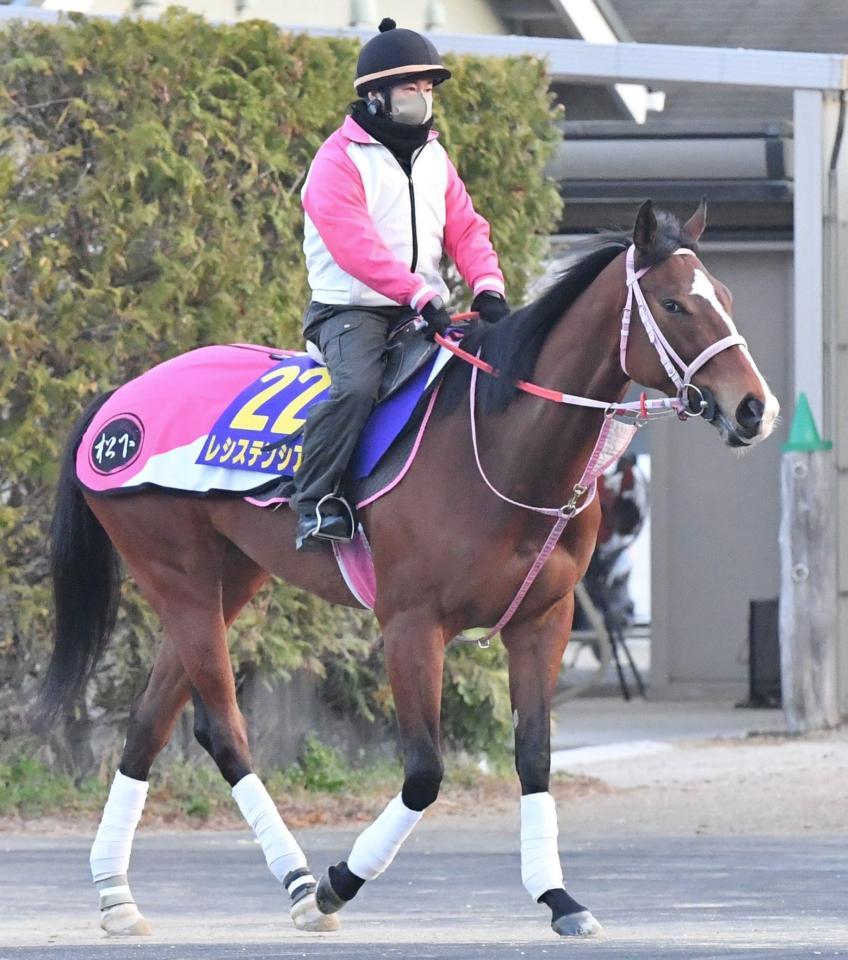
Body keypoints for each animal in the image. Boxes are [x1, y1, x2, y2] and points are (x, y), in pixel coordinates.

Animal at [39, 199, 780, 940]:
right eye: (674, 303)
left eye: (727, 296)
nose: (754, 407)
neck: (502, 447)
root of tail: (117, 402)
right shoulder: (411, 626)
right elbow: (424, 772)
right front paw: (338, 884)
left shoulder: (544, 621)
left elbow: (535, 756)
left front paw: (558, 897)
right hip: (179, 576)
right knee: (221, 727)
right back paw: (299, 882)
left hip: (227, 579)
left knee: (148, 722)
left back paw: (119, 893)